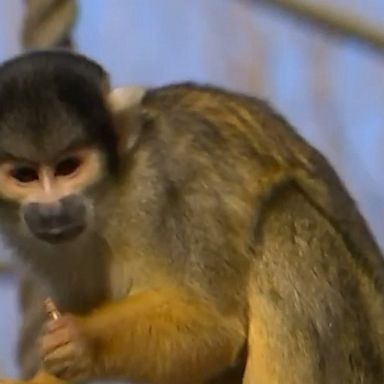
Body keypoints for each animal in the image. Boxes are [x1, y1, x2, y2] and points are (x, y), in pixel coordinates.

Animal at [0, 50, 384, 384]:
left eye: (68, 168)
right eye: (25, 175)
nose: (53, 210)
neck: (109, 199)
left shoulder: (159, 190)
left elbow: (215, 327)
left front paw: (84, 341)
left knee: (285, 213)